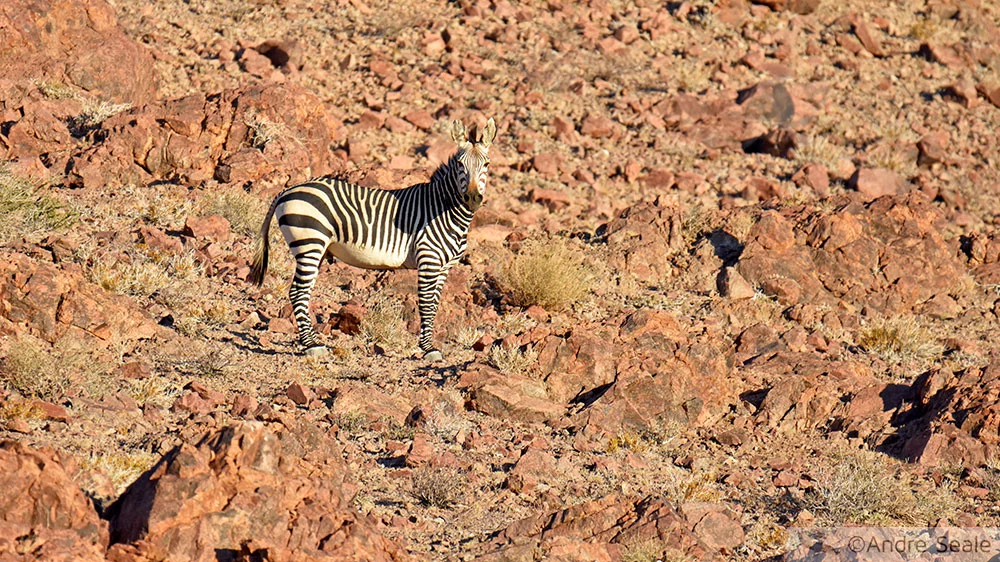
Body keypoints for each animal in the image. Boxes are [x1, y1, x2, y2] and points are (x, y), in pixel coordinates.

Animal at [248, 117, 496, 361]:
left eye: (486, 164)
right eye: (460, 165)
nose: (472, 198)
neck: (444, 210)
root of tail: (288, 190)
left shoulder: (444, 266)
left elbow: (434, 305)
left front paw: (429, 345)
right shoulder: (428, 259)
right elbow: (426, 305)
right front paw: (428, 350)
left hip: (314, 249)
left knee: (303, 291)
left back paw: (312, 341)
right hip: (309, 242)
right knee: (298, 292)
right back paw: (311, 345)